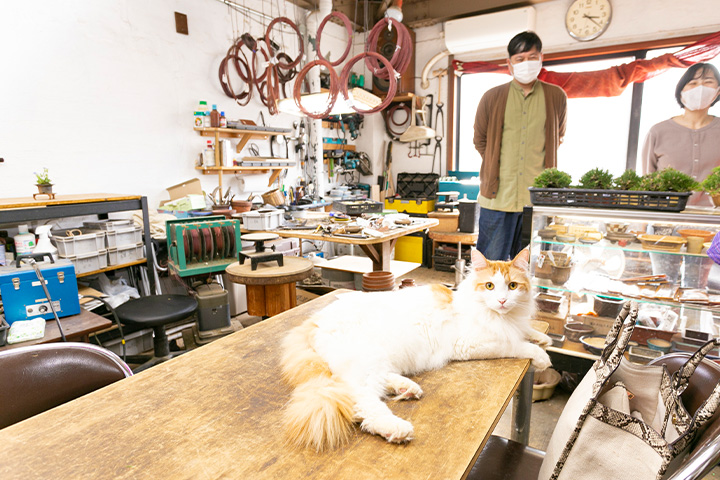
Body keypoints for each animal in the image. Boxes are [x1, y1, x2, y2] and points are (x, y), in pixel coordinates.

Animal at [282, 248, 552, 450]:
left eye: (513, 286)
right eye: (489, 286)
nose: (502, 301)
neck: (500, 316)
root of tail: (313, 321)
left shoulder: (512, 325)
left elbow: (526, 331)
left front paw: (542, 338)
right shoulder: (471, 343)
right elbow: (516, 344)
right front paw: (542, 356)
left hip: (377, 360)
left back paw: (407, 388)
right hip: (366, 361)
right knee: (358, 402)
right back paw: (394, 428)